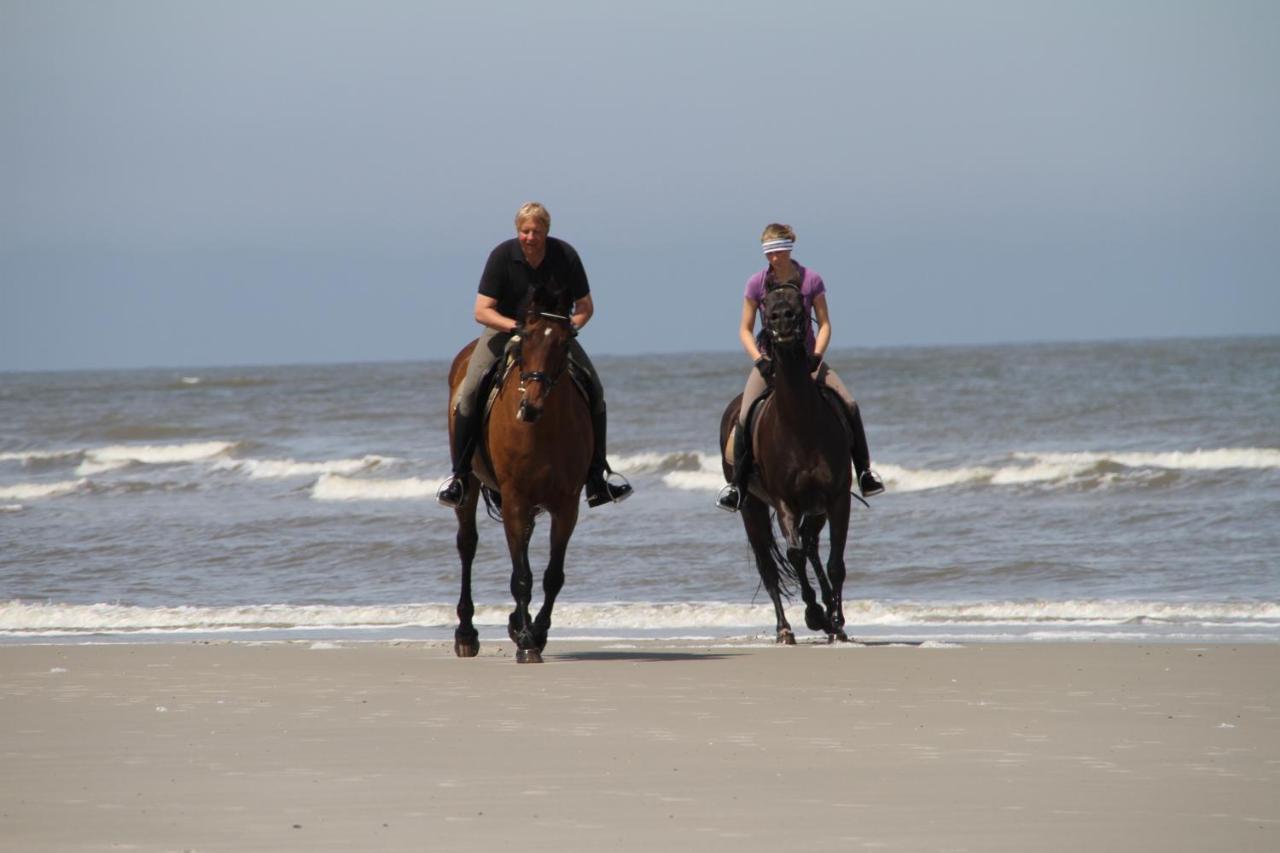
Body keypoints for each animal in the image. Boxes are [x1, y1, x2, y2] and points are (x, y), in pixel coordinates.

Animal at [448, 281, 591, 660]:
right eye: (525, 337)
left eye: (565, 342)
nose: (531, 406)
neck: (542, 428)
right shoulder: (514, 498)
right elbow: (521, 575)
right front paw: (527, 640)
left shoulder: (566, 505)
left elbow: (552, 575)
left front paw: (534, 631)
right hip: (470, 486)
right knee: (467, 544)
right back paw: (466, 634)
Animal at [716, 281, 855, 640]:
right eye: (766, 303)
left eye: (799, 300)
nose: (782, 319)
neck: (800, 422)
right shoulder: (784, 502)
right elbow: (793, 556)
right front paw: (815, 615)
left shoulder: (836, 499)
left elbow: (835, 562)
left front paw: (835, 622)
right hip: (751, 508)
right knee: (769, 566)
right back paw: (785, 629)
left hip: (815, 508)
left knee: (811, 546)